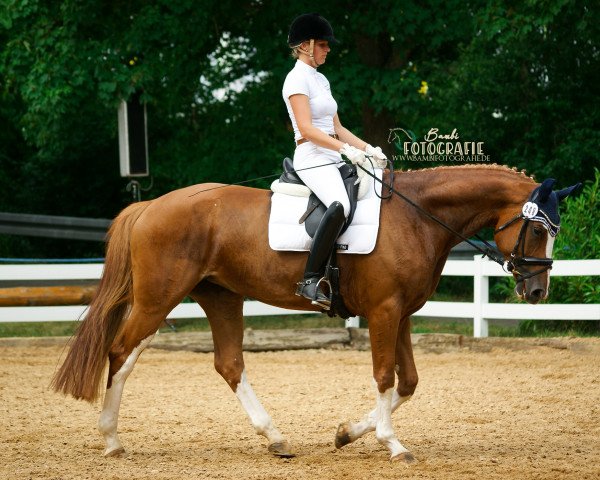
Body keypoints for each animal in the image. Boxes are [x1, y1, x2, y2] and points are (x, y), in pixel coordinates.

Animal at [52, 163, 580, 464]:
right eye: (538, 230)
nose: (537, 291)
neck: (417, 217)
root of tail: (148, 206)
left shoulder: (402, 313)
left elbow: (407, 382)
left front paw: (348, 434)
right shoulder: (384, 311)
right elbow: (385, 376)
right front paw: (392, 444)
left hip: (221, 297)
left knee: (229, 364)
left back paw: (276, 438)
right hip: (159, 298)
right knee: (122, 351)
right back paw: (112, 441)